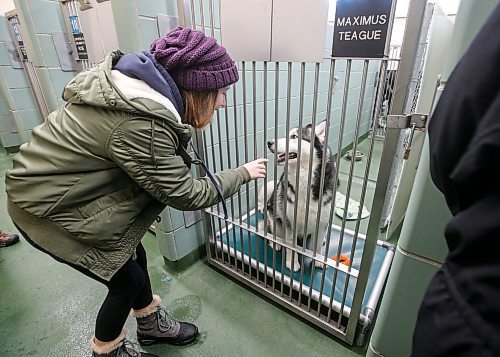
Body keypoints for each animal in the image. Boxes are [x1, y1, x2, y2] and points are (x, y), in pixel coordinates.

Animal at [258, 121, 336, 272]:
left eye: (294, 136)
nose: (269, 142)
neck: (304, 177)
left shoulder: (322, 221)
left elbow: (317, 246)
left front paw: (318, 259)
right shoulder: (290, 222)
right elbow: (290, 245)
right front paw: (292, 263)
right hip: (274, 217)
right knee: (270, 232)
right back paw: (276, 243)